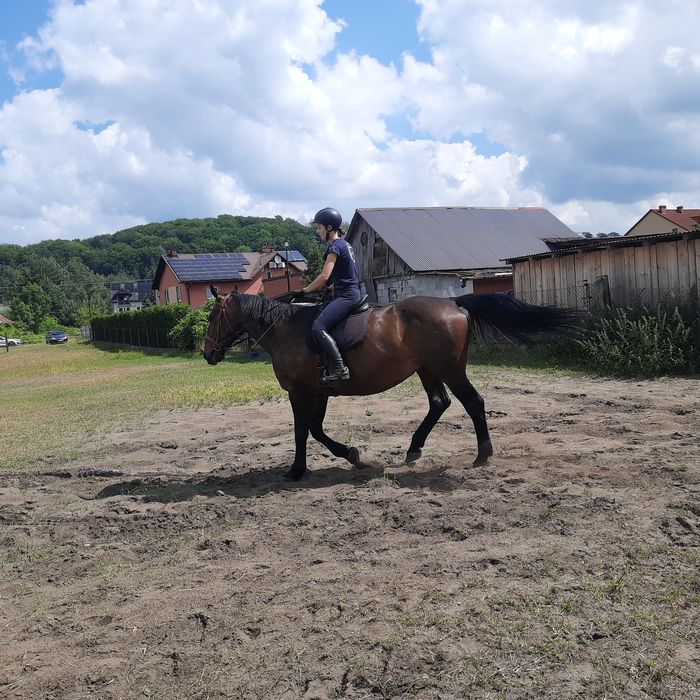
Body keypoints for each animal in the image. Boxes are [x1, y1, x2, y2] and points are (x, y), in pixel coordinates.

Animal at [201, 288, 576, 482]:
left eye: (212, 317)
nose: (207, 353)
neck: (287, 330)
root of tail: (453, 302)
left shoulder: (300, 391)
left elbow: (302, 430)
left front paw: (296, 470)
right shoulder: (318, 391)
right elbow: (317, 429)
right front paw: (352, 455)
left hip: (449, 369)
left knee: (474, 402)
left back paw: (483, 456)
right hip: (427, 369)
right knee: (439, 403)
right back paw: (414, 449)